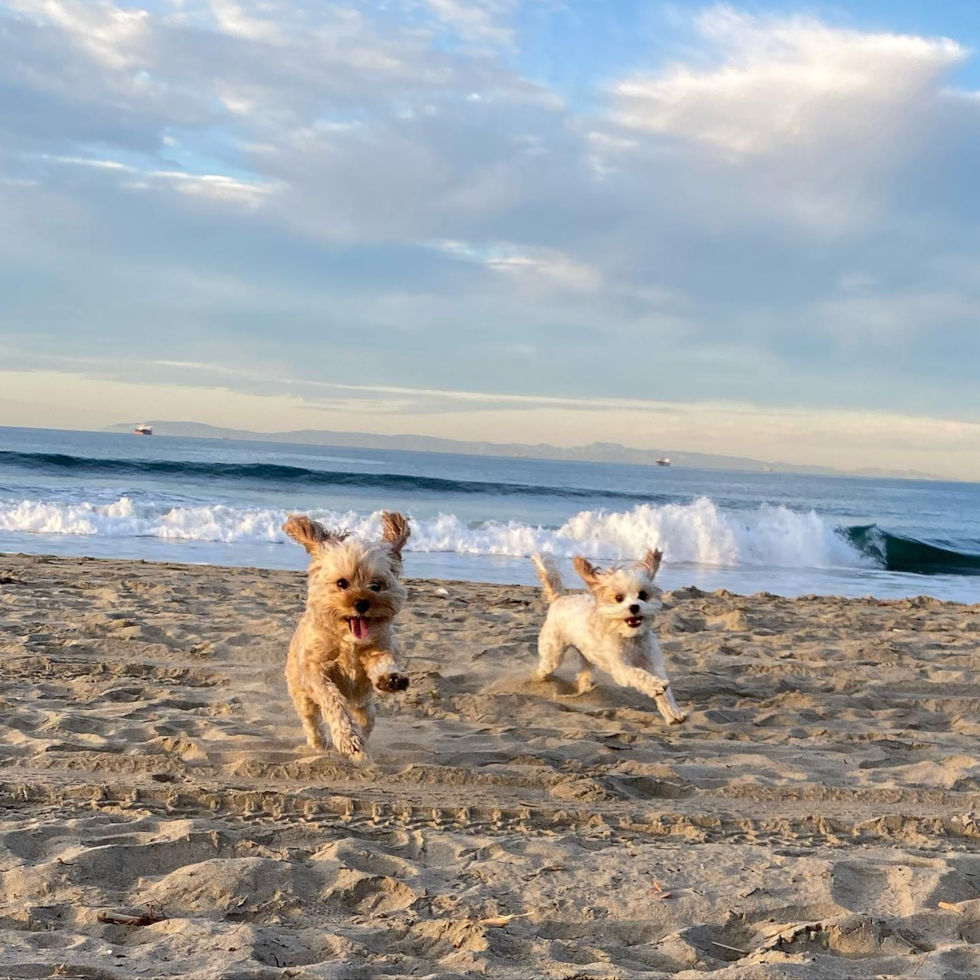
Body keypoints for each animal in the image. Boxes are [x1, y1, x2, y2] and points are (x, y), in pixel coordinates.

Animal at [284, 510, 410, 760]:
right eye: (342, 583)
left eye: (376, 585)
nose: (361, 603)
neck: (349, 641)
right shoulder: (316, 670)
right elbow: (332, 700)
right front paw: (347, 738)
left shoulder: (378, 648)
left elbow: (382, 662)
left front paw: (390, 678)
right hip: (300, 692)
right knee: (311, 721)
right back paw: (319, 744)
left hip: (363, 705)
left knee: (366, 719)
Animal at [532, 548, 684, 724]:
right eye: (619, 598)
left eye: (643, 595)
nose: (634, 607)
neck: (630, 637)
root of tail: (559, 598)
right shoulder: (621, 667)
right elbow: (640, 675)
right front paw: (655, 685)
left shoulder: (653, 663)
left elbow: (666, 694)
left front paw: (673, 712)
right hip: (553, 654)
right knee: (544, 669)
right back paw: (537, 681)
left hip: (586, 655)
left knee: (584, 673)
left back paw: (584, 691)